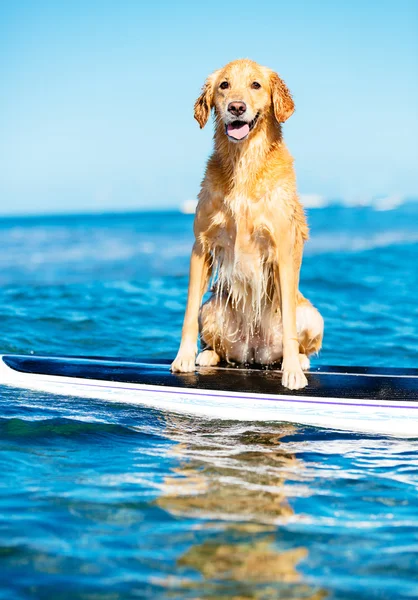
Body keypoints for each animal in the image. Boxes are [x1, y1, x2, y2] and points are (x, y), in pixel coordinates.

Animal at [170, 58, 324, 392]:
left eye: (256, 85)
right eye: (224, 85)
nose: (237, 107)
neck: (243, 164)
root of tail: (253, 352)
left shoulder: (282, 251)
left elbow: (289, 322)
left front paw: (293, 371)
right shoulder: (201, 247)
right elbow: (188, 311)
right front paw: (183, 357)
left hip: (313, 315)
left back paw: (299, 361)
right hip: (212, 309)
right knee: (218, 345)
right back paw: (207, 355)